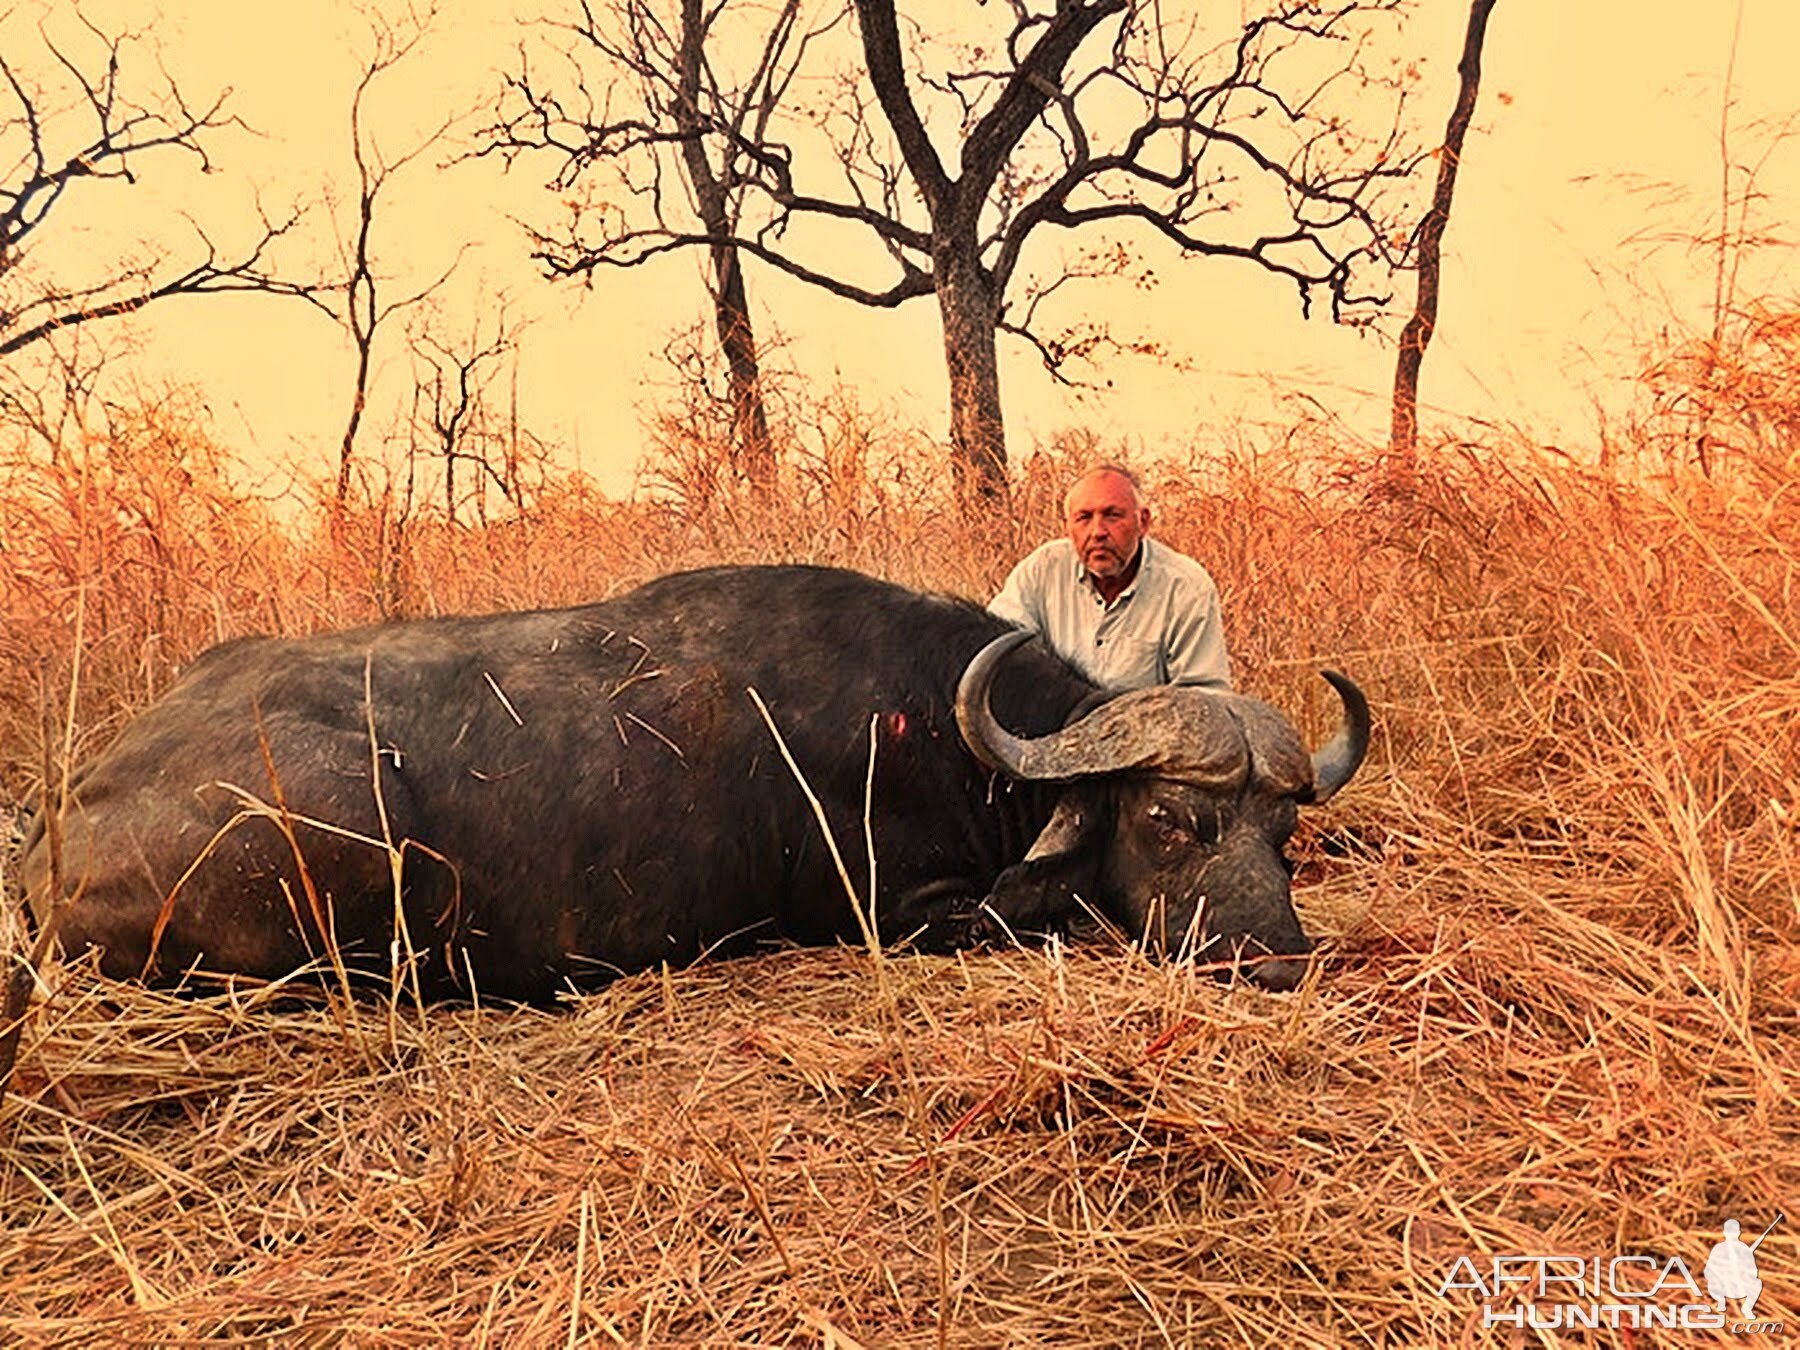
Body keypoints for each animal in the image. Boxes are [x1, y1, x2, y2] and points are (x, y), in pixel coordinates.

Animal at [21, 565, 1360, 1000]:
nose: (1279, 960)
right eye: (1174, 819)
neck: (937, 728)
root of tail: (65, 820)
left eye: (1283, 838)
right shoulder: (892, 911)